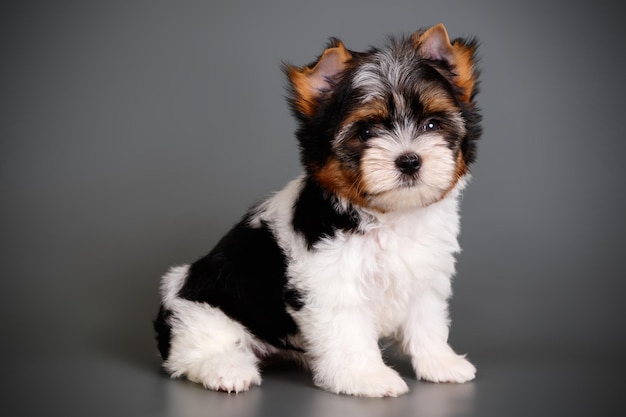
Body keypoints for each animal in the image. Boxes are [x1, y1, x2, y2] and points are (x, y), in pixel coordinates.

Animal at [154, 23, 480, 396]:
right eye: (366, 131)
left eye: (431, 125)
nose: (409, 160)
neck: (389, 215)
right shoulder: (331, 282)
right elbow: (349, 333)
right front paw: (367, 377)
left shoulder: (424, 275)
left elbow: (426, 322)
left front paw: (441, 363)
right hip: (200, 307)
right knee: (195, 349)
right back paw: (226, 369)